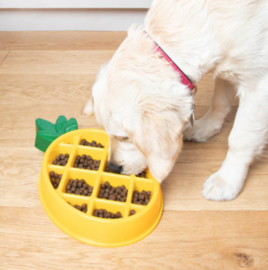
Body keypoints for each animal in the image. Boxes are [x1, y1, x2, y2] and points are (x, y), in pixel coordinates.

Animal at [83, 0, 268, 200]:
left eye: (125, 137)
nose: (113, 168)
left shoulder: (258, 85)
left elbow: (240, 139)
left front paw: (227, 180)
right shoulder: (227, 67)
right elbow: (219, 101)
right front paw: (206, 127)